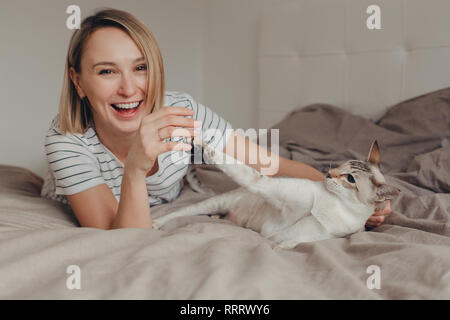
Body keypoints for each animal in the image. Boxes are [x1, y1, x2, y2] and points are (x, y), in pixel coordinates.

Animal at [153, 139, 400, 249]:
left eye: (350, 179)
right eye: (342, 165)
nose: (328, 174)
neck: (333, 205)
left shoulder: (288, 239)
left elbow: (279, 245)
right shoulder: (270, 188)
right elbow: (229, 162)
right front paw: (201, 141)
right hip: (213, 202)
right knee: (180, 212)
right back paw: (156, 223)